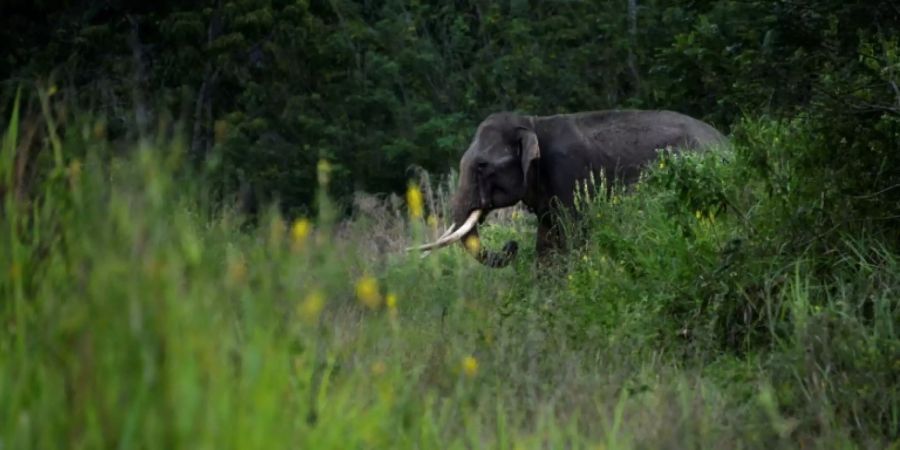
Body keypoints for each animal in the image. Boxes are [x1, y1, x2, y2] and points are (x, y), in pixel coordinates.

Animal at [412, 109, 728, 268]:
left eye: (482, 166)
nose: (511, 245)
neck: (533, 123)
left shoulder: (569, 174)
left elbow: (573, 235)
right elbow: (547, 242)